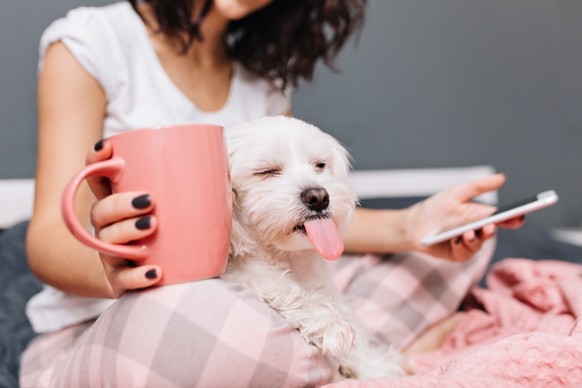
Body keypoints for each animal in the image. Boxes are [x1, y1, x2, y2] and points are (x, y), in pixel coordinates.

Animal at [221, 116, 408, 378]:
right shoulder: (245, 275)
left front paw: (374, 368)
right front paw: (333, 326)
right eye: (267, 171)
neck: (285, 254)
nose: (318, 197)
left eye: (320, 165)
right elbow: (284, 288)